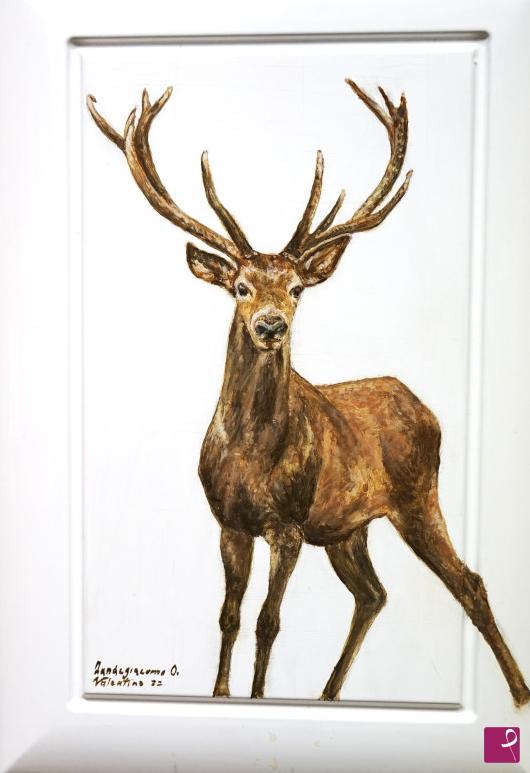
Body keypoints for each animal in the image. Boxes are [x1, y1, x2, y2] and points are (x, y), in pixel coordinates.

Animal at [87, 79, 530, 707]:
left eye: (297, 288)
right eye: (240, 287)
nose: (271, 325)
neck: (249, 453)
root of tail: (425, 407)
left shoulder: (288, 523)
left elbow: (268, 621)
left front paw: (255, 697)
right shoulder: (229, 522)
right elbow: (228, 615)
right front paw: (220, 695)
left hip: (418, 496)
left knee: (468, 582)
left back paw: (518, 693)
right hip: (348, 527)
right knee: (373, 593)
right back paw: (327, 695)